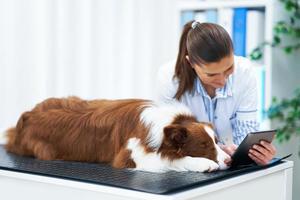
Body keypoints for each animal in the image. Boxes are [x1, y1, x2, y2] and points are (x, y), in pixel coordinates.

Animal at [5, 96, 230, 172]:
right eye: (203, 145)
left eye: (216, 141)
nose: (229, 160)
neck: (171, 122)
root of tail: (27, 115)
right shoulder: (129, 156)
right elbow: (173, 159)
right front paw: (205, 164)